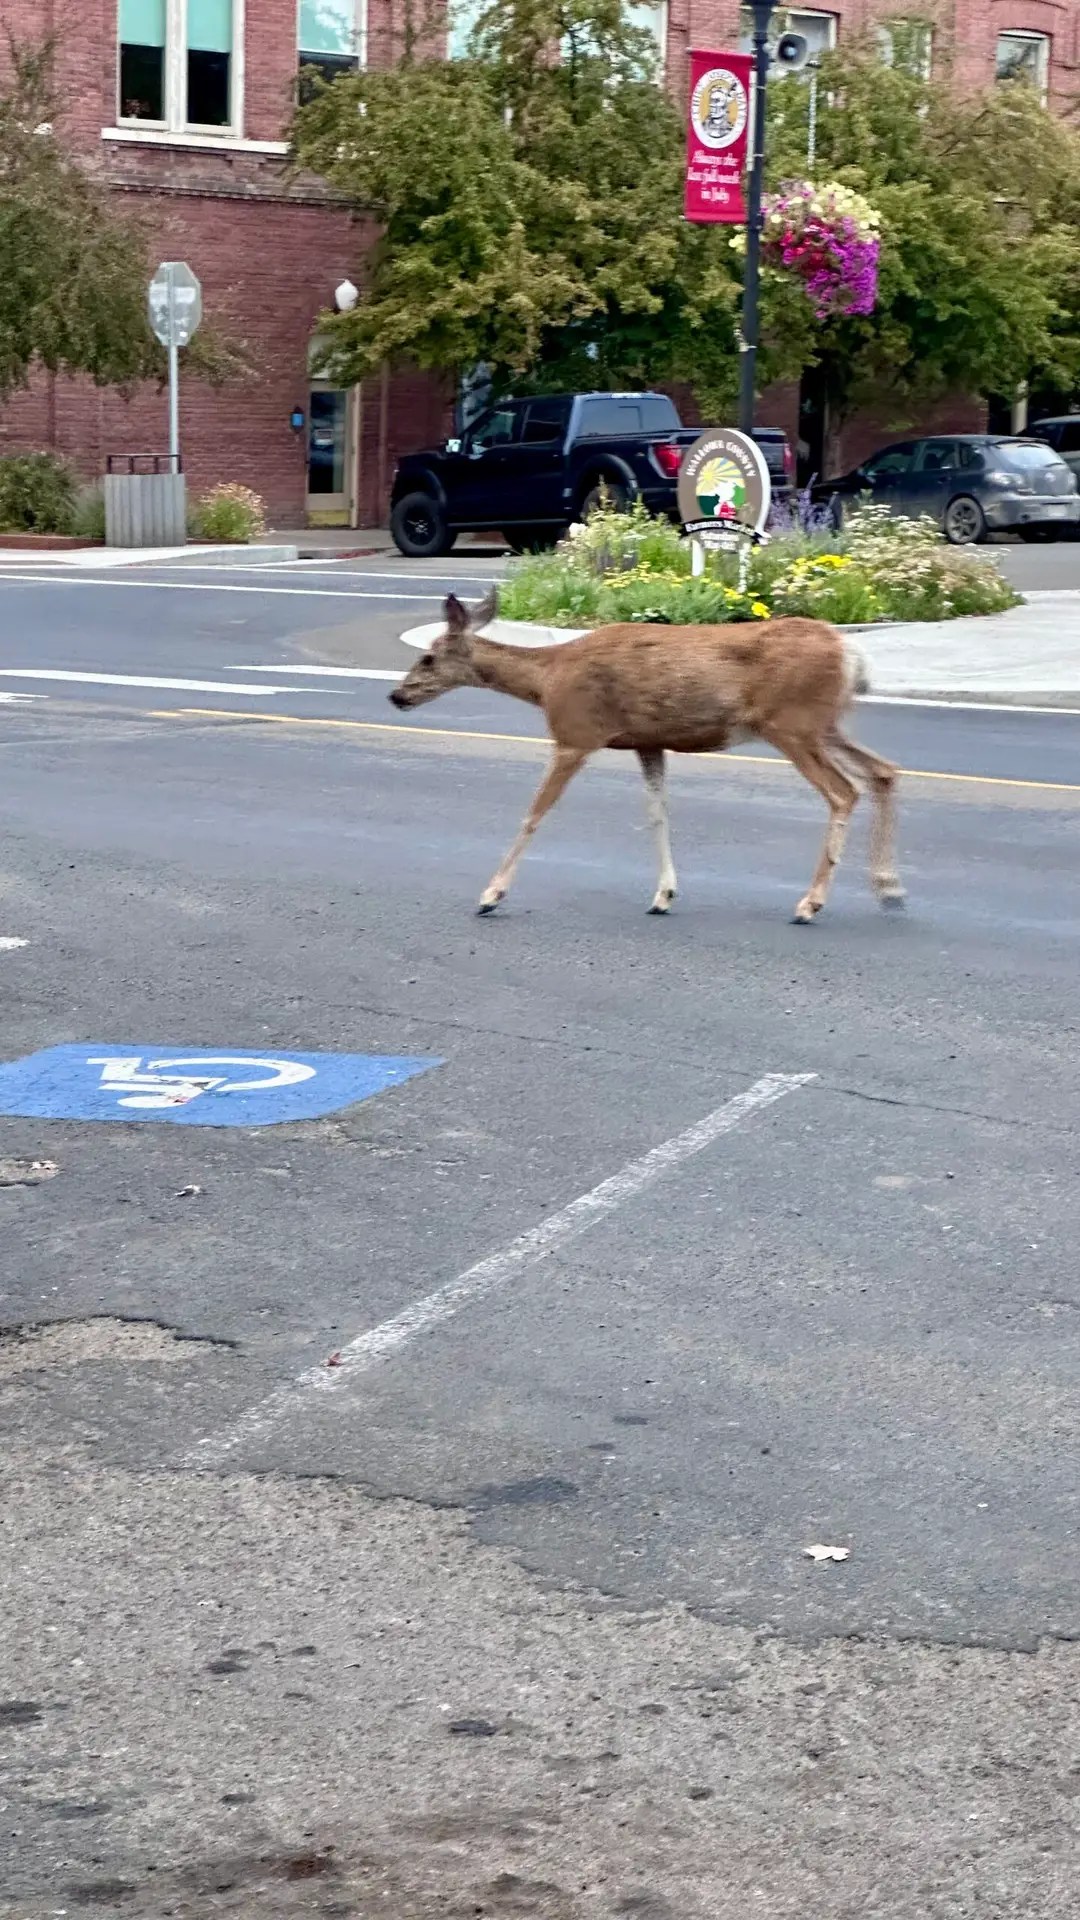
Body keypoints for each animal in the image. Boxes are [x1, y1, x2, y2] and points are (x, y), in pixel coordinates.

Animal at [389, 590, 904, 924]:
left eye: (429, 659)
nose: (397, 696)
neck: (548, 678)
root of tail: (851, 652)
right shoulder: (647, 741)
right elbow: (658, 814)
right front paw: (664, 895)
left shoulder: (576, 734)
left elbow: (534, 813)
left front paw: (491, 895)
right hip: (824, 724)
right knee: (884, 772)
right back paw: (890, 889)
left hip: (792, 723)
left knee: (844, 791)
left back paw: (810, 904)